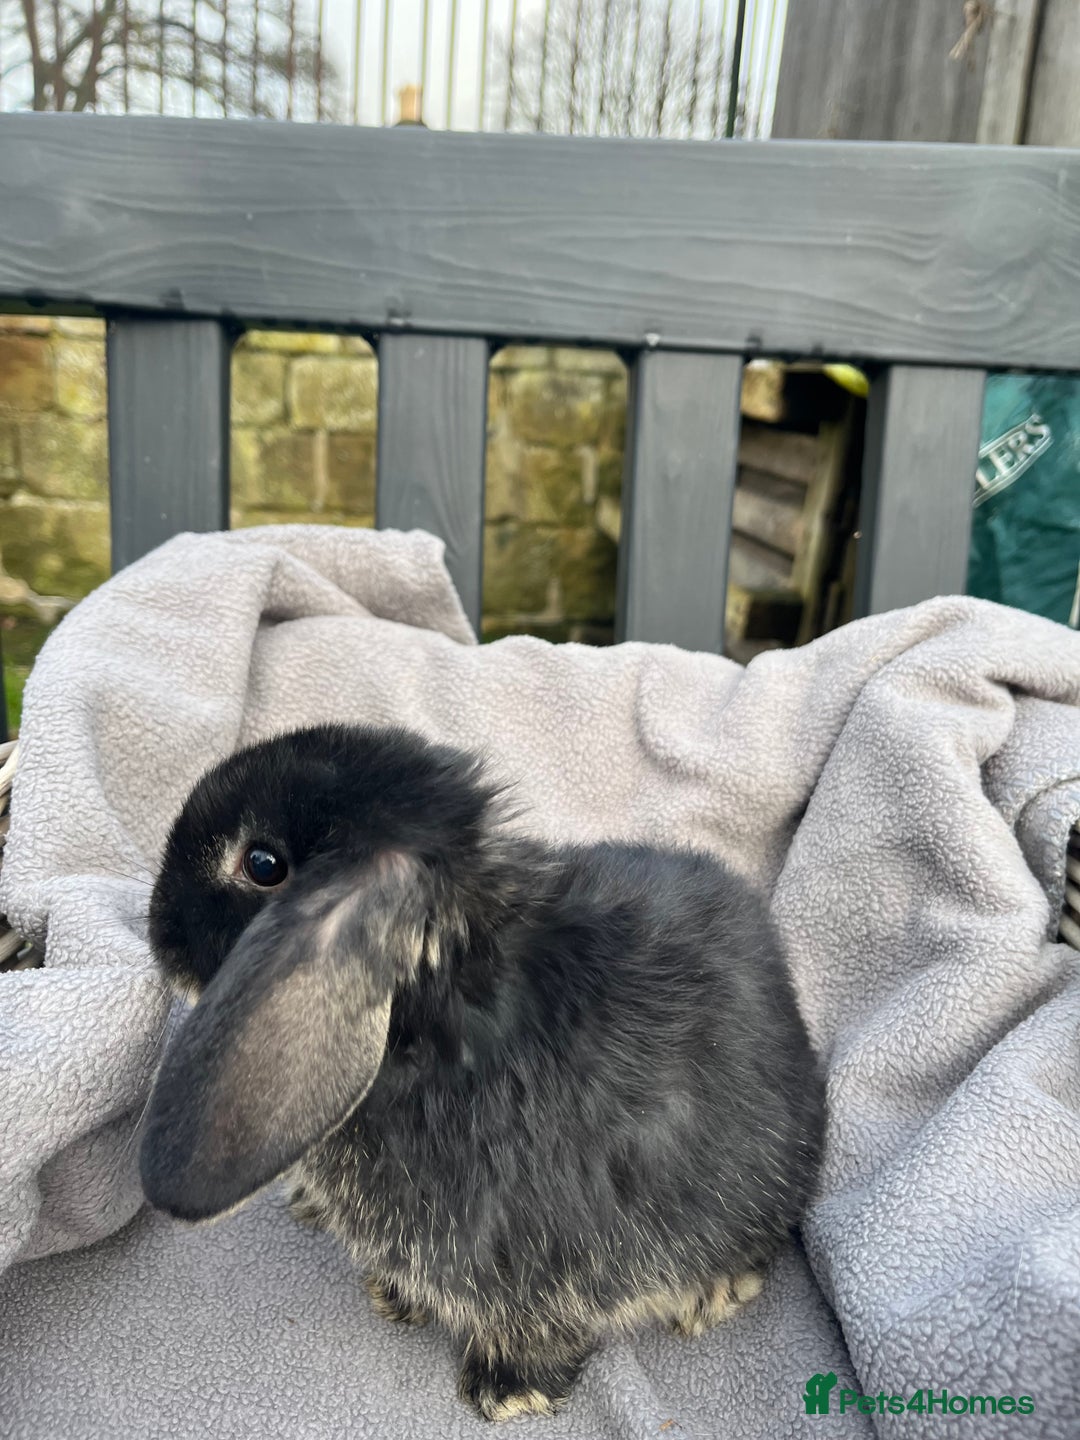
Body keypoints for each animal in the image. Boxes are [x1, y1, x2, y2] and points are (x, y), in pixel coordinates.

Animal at [140, 723, 825, 1422]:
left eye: (262, 865)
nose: (157, 926)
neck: (442, 1009)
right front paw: (395, 1297)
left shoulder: (536, 1256)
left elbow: (533, 1323)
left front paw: (507, 1391)